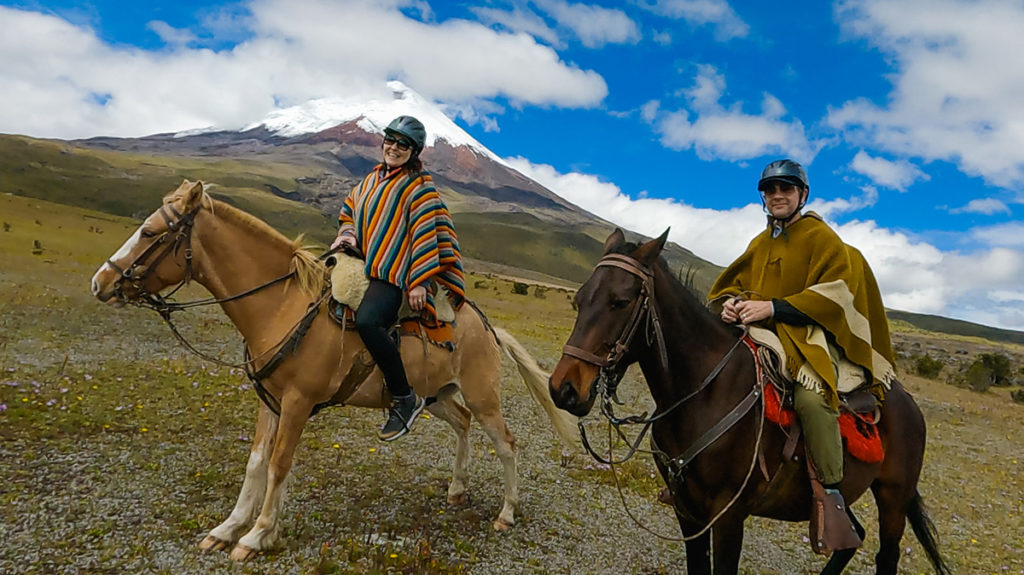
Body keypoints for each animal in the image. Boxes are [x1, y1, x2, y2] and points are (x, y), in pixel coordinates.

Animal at [90, 180, 577, 560]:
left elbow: (279, 464)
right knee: (462, 423)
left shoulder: (297, 402)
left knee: (506, 443)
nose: (101, 282)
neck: (281, 305)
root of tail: (486, 325)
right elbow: (256, 463)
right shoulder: (270, 401)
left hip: (482, 394)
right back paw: (456, 490)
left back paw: (507, 513)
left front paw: (257, 534)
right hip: (435, 396)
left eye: (149, 231)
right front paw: (228, 528)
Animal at [552, 228, 950, 572]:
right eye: (580, 298)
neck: (704, 394)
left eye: (620, 302)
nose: (563, 388)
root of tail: (907, 403)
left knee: (887, 555)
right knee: (851, 539)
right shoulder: (687, 513)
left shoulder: (728, 516)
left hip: (893, 498)